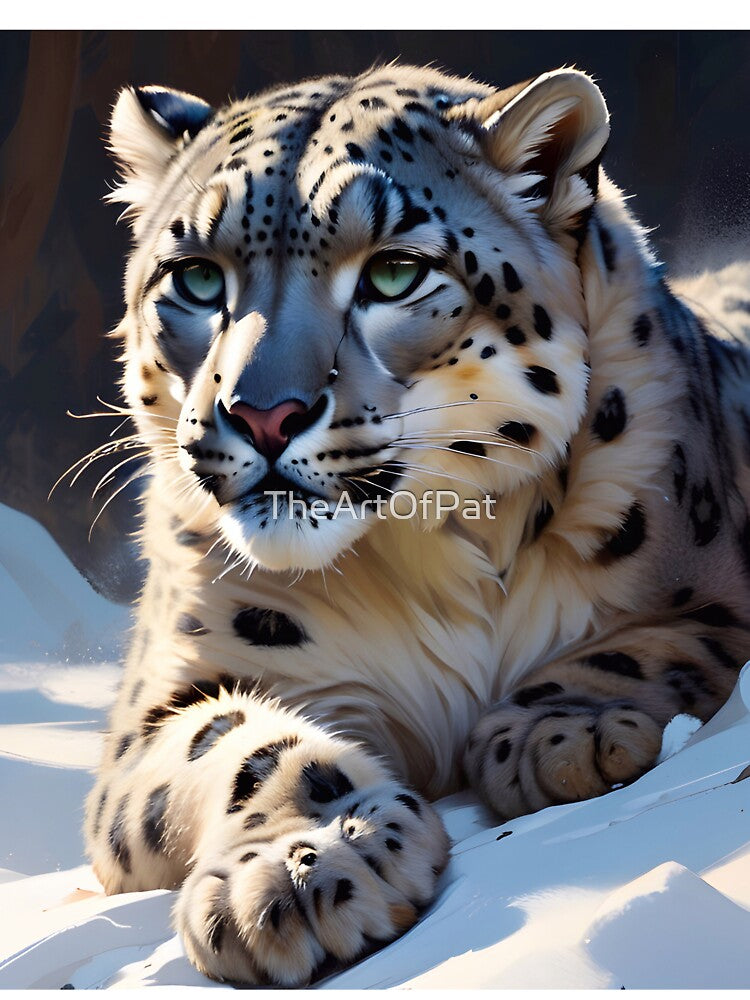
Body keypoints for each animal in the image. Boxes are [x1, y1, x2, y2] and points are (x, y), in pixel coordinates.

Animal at [82, 62, 750, 985]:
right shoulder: (166, 698)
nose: (261, 415)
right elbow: (234, 743)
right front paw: (301, 869)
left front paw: (565, 732)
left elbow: (649, 643)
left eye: (395, 273)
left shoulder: (710, 599)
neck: (430, 550)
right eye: (198, 278)